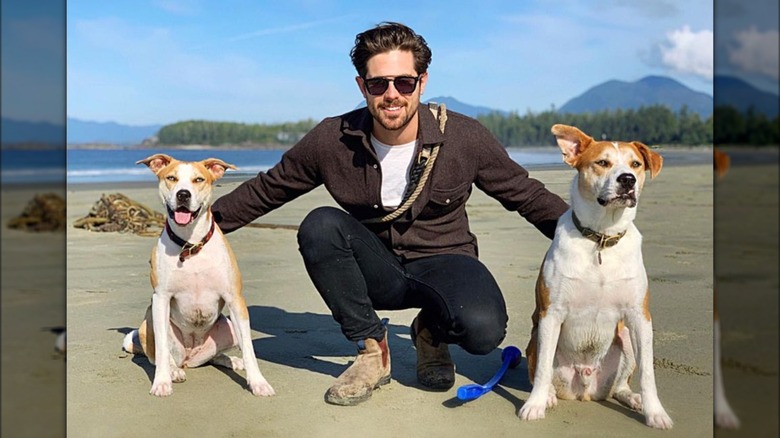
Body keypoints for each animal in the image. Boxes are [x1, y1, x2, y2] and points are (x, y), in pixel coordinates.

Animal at [123, 153, 276, 396]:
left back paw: (232, 361)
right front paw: (161, 382)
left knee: (215, 356)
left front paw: (258, 382)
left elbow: (249, 348)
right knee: (159, 356)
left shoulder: (235, 299)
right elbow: (162, 350)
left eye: (198, 180)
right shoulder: (161, 298)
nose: (183, 194)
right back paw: (174, 371)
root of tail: (190, 357)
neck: (191, 244)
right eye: (171, 178)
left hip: (228, 325)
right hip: (148, 322)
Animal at [516, 125, 672, 430]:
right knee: (542, 370)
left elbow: (648, 373)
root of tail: (585, 388)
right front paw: (534, 405)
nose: (627, 180)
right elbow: (541, 369)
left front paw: (655, 412)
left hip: (625, 337)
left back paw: (632, 397)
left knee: (620, 385)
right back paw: (548, 395)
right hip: (536, 335)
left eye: (636, 164)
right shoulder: (551, 313)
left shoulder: (639, 316)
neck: (601, 237)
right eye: (602, 162)